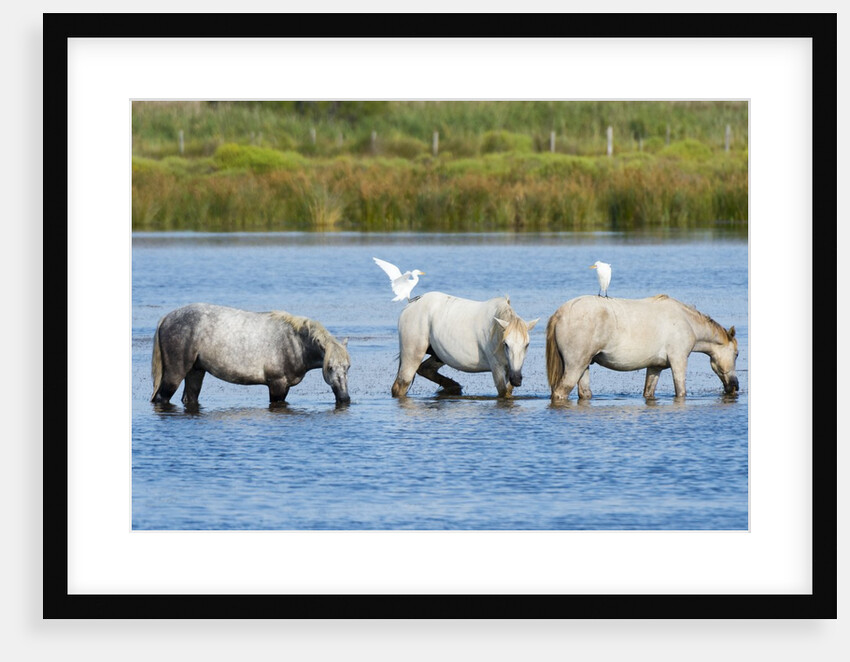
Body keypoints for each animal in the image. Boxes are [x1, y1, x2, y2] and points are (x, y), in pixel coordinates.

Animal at [150, 303, 351, 406]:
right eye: (329, 367)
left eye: (347, 367)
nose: (345, 399)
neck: (295, 342)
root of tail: (166, 318)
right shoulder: (277, 384)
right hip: (175, 374)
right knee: (162, 398)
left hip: (196, 371)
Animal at [391, 292, 539, 398]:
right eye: (506, 344)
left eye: (527, 345)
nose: (517, 379)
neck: (496, 332)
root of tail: (410, 305)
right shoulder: (497, 367)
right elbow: (503, 392)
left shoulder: (511, 369)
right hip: (412, 354)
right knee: (401, 385)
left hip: (439, 355)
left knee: (425, 369)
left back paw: (453, 387)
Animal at [545, 294, 739, 402]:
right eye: (737, 354)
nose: (735, 386)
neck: (687, 322)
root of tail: (559, 313)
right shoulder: (679, 360)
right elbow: (681, 391)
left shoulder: (655, 367)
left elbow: (649, 392)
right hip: (575, 366)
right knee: (560, 392)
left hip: (585, 366)